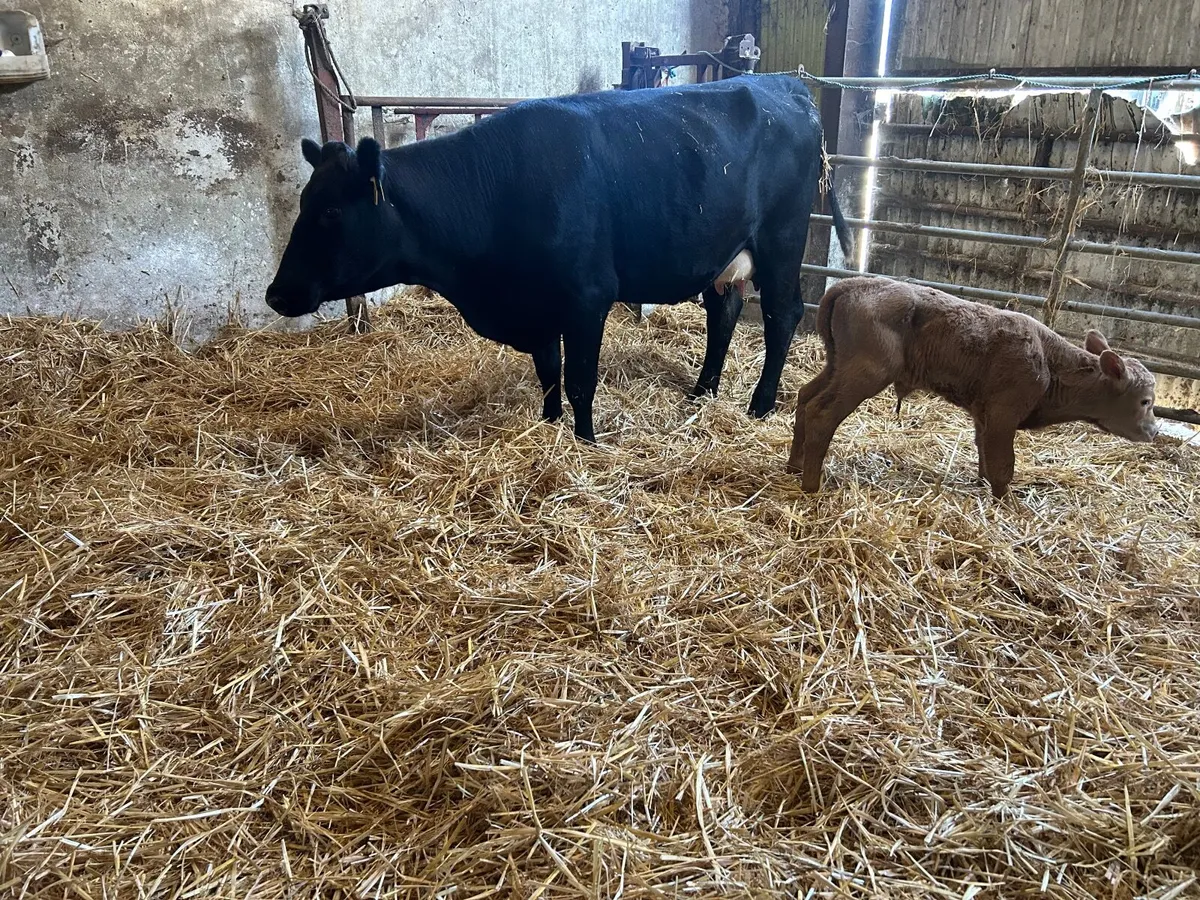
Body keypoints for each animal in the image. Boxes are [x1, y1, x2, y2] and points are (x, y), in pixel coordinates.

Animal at [266, 74, 853, 442]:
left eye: (332, 213)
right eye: (305, 202)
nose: (275, 293)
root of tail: (784, 84)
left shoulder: (587, 297)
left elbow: (579, 380)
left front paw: (585, 441)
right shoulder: (538, 306)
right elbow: (549, 373)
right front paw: (548, 428)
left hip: (781, 239)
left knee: (782, 315)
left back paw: (760, 403)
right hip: (724, 253)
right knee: (724, 311)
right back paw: (701, 391)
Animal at [786, 277, 1160, 496]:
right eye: (1145, 401)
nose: (1154, 431)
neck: (1048, 362)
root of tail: (850, 284)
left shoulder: (984, 413)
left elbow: (984, 452)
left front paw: (982, 486)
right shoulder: (1004, 414)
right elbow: (1003, 464)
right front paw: (1004, 501)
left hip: (837, 366)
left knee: (805, 399)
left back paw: (794, 467)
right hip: (866, 372)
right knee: (822, 413)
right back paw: (811, 485)